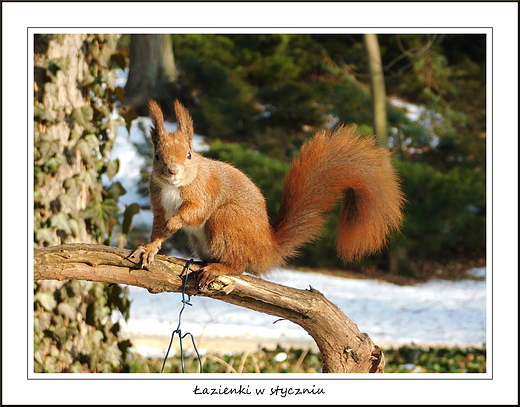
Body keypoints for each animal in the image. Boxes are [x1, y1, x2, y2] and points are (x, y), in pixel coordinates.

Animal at [131, 100, 406, 286]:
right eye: (157, 156)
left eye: (189, 155)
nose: (172, 171)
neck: (174, 187)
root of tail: (266, 249)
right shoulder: (158, 204)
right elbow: (158, 228)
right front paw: (150, 247)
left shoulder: (205, 190)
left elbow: (195, 212)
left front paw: (175, 222)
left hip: (226, 220)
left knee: (240, 264)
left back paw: (219, 268)